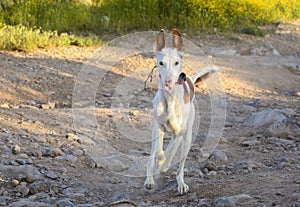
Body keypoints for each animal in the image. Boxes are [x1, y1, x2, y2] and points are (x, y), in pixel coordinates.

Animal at [144, 28, 219, 194]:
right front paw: (160, 160)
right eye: (161, 63)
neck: (170, 100)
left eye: (177, 62)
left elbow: (171, 150)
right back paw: (150, 178)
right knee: (152, 155)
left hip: (187, 138)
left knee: (180, 166)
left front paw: (164, 165)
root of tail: (191, 80)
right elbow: (158, 150)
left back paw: (180, 183)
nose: (168, 83)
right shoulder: (158, 126)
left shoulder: (179, 132)